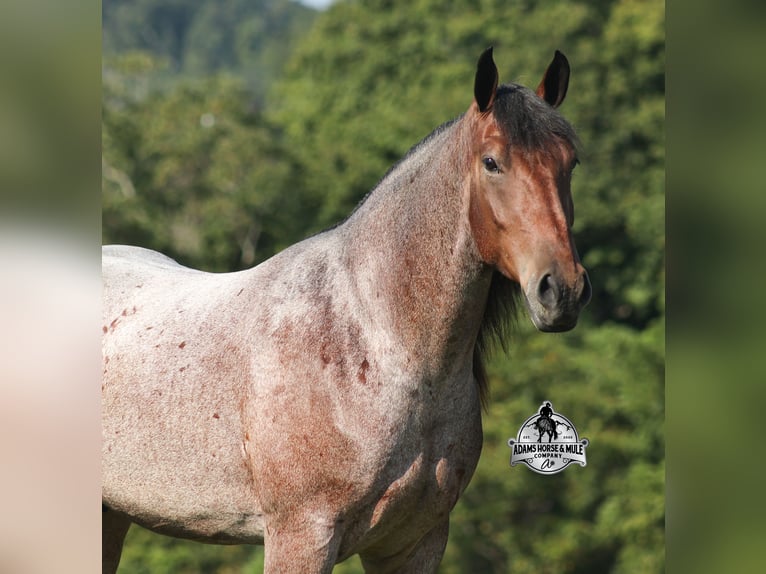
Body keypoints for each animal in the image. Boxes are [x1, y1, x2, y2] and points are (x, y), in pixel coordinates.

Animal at [102, 47, 591, 573]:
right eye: (492, 162)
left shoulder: (414, 542)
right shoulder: (302, 534)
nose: (562, 290)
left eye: (571, 162)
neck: (375, 341)